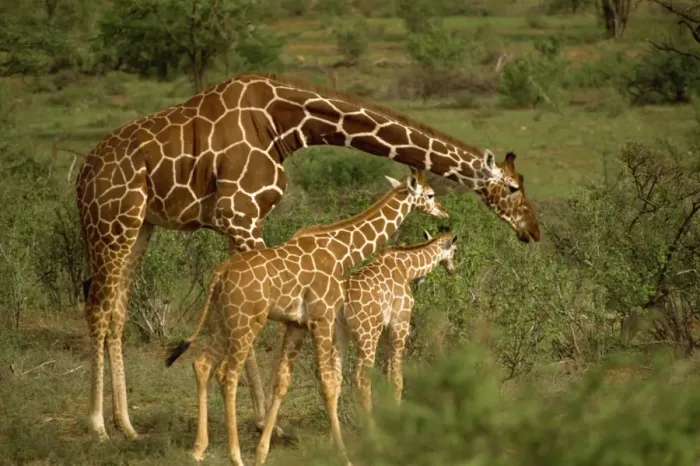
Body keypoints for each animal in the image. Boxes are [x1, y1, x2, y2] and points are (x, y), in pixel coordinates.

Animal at [165, 169, 449, 466]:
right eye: (430, 194)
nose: (444, 212)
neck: (342, 252)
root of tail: (219, 274)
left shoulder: (297, 324)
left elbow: (282, 382)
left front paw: (262, 452)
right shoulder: (321, 318)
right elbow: (329, 382)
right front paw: (343, 454)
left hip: (223, 320)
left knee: (203, 364)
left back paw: (198, 449)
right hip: (246, 321)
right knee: (227, 374)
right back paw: (235, 455)